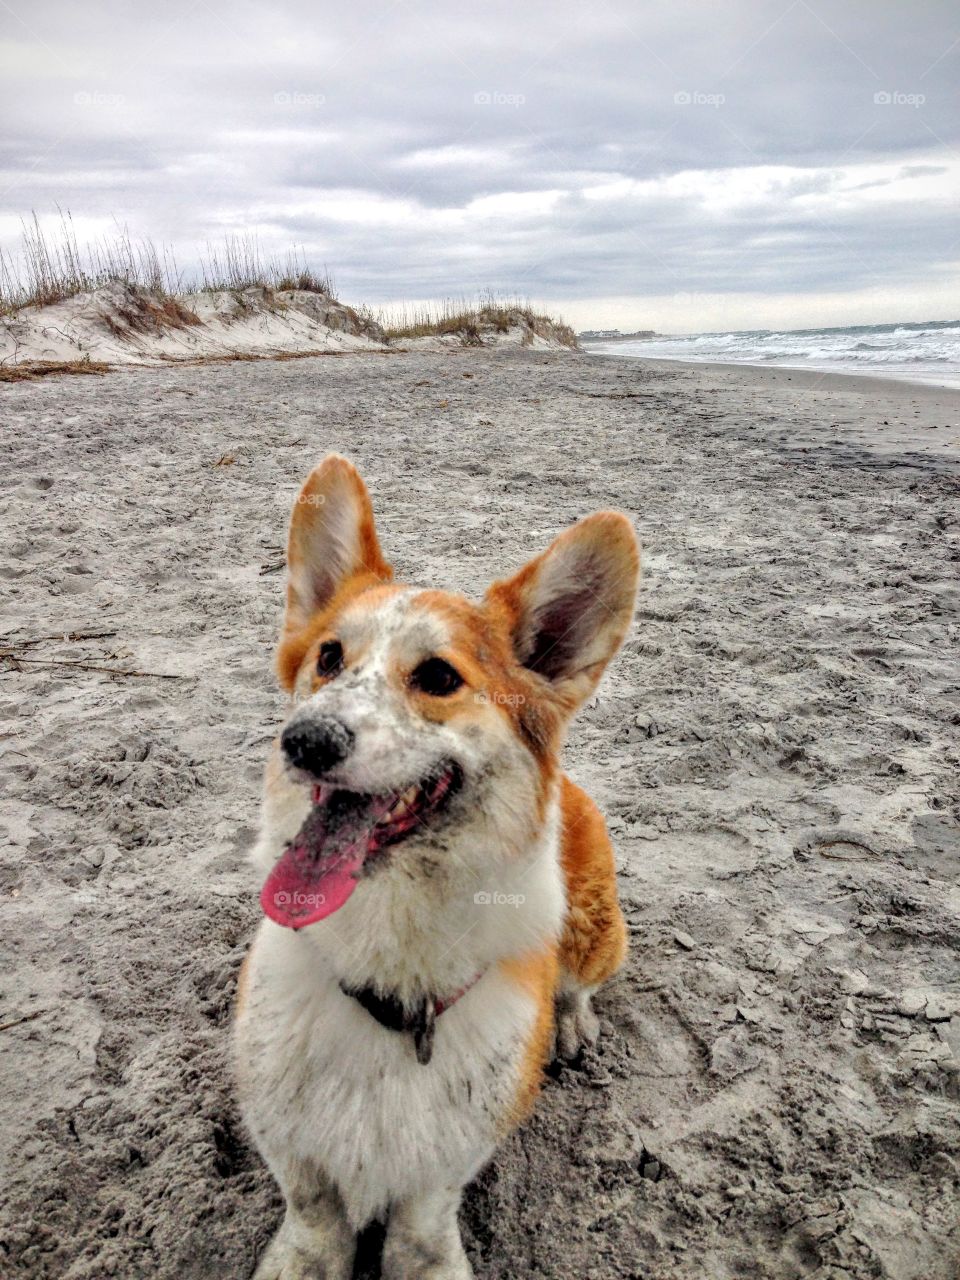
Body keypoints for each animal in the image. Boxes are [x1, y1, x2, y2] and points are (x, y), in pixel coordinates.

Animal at [231, 460, 640, 1280]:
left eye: (439, 678)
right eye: (329, 657)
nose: (305, 740)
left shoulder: (450, 1153)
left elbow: (422, 1224)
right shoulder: (286, 1130)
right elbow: (312, 1208)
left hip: (592, 929)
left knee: (583, 983)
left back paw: (573, 1025)